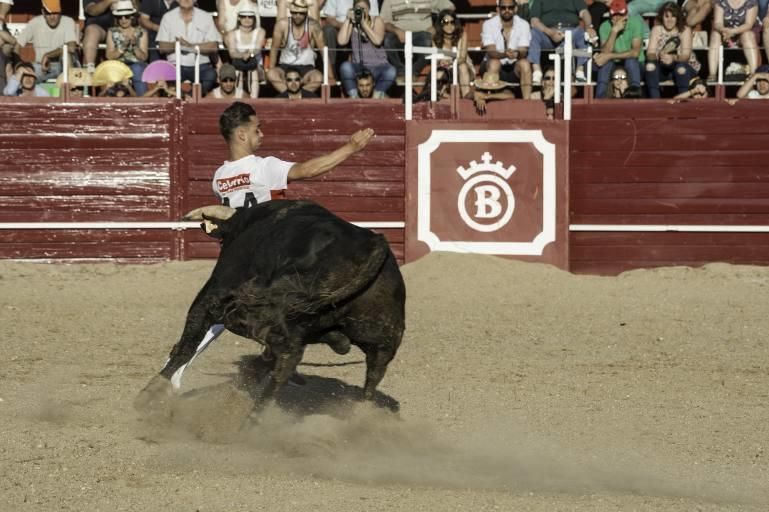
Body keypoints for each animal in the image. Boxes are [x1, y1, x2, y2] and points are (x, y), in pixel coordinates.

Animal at [135, 200, 404, 412]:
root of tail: (373, 244)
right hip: (383, 339)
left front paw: (150, 393)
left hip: (251, 305)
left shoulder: (213, 293)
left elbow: (187, 342)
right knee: (372, 376)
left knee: (285, 356)